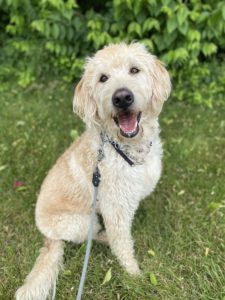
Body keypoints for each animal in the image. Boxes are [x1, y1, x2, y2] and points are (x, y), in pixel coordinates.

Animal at [15, 42, 171, 300]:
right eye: (103, 78)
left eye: (134, 70)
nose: (122, 97)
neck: (127, 148)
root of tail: (48, 236)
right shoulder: (115, 210)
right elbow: (122, 244)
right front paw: (134, 275)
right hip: (82, 221)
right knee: (93, 236)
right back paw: (104, 238)